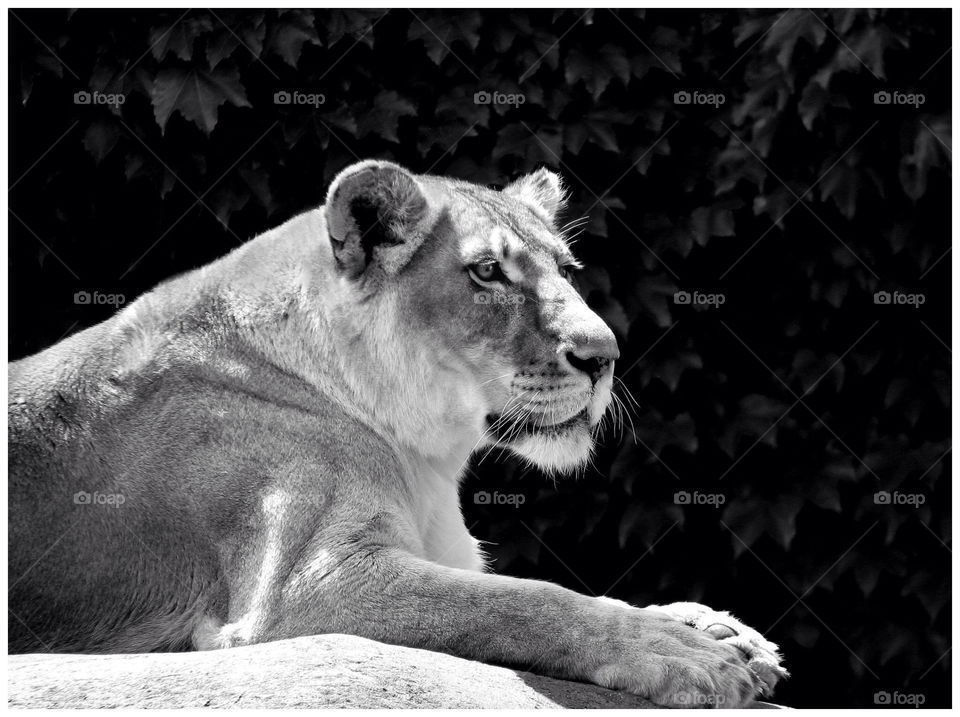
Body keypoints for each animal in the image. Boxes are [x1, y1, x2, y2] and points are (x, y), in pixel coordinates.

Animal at [8, 160, 787, 707]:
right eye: (487, 272)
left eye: (566, 270)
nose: (605, 356)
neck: (426, 459)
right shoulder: (303, 589)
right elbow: (530, 599)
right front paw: (679, 650)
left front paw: (713, 625)